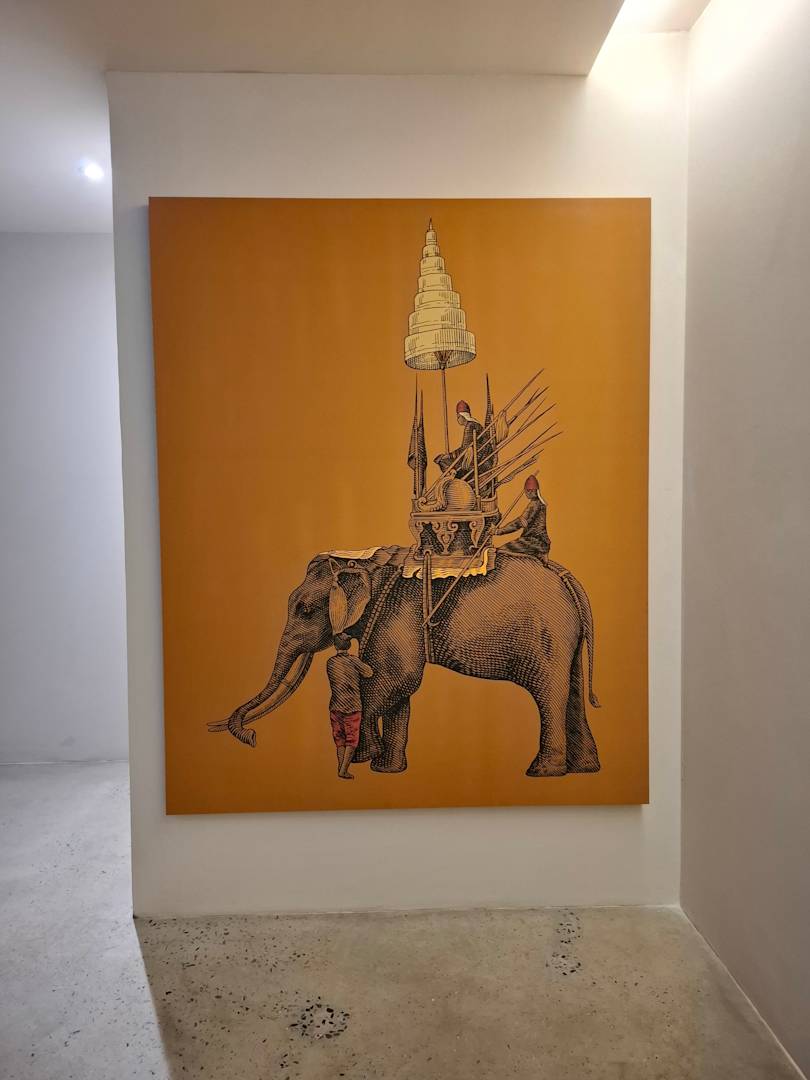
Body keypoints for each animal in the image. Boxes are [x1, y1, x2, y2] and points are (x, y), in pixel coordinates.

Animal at [208, 546, 601, 778]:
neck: (364, 562)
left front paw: (365, 757)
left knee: (549, 695)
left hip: (547, 639)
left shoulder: (397, 612)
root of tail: (569, 579)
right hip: (566, 639)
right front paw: (386, 769)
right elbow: (398, 691)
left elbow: (397, 679)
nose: (252, 738)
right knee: (572, 692)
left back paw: (542, 772)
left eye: (305, 610)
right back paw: (585, 769)